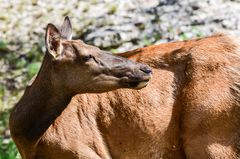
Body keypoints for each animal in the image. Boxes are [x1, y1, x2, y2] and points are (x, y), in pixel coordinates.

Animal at [9, 17, 240, 159]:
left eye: (96, 48)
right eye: (87, 56)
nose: (145, 69)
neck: (28, 139)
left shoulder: (85, 151)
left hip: (211, 134)